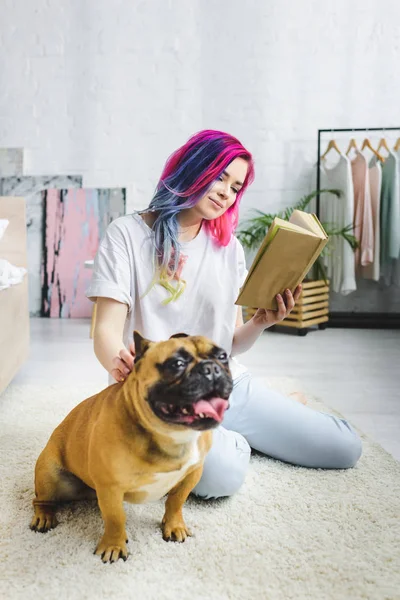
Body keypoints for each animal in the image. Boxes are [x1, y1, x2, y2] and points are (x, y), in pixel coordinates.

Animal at [30, 332, 231, 564]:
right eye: (177, 364)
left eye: (223, 357)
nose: (212, 368)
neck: (170, 436)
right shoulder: (110, 488)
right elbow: (115, 518)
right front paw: (114, 545)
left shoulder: (192, 473)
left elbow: (176, 501)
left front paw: (174, 525)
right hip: (49, 474)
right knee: (41, 500)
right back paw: (44, 517)